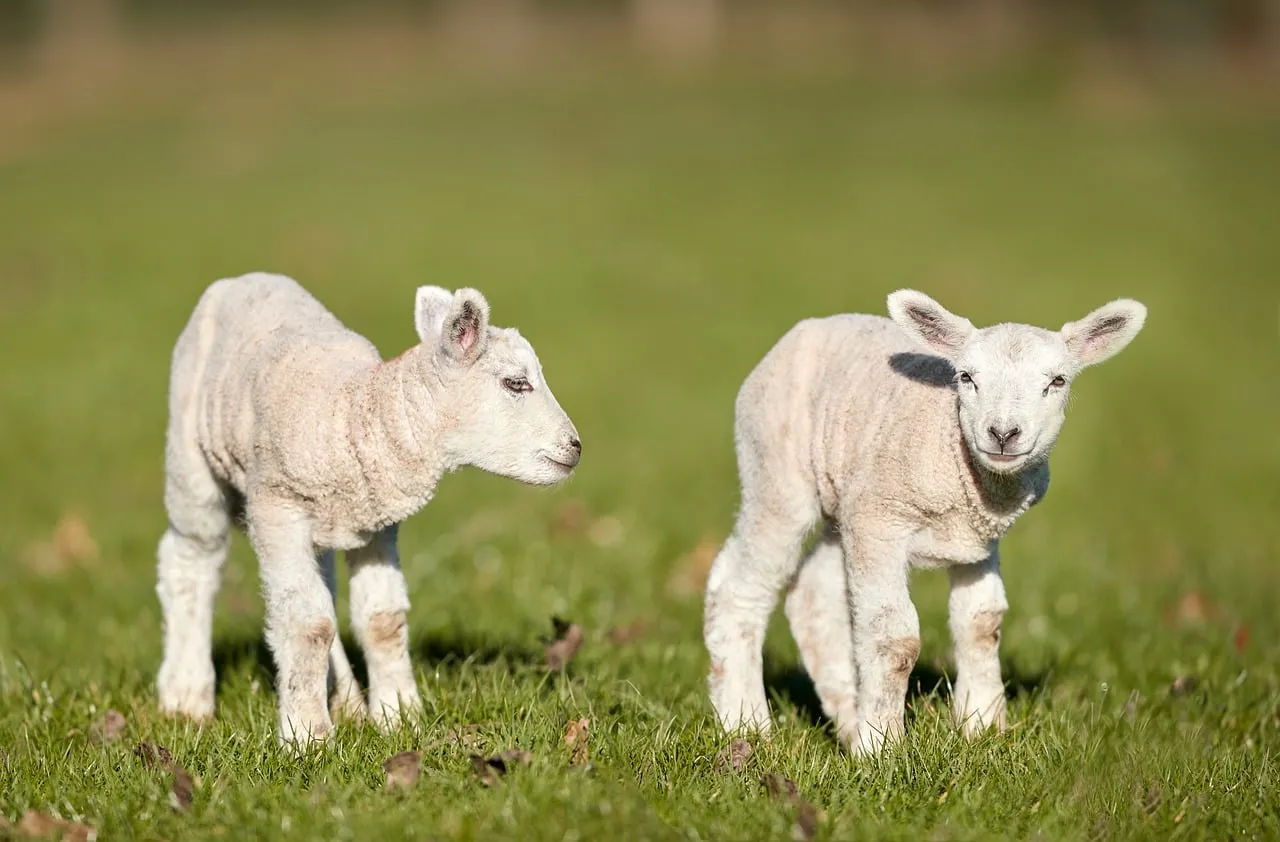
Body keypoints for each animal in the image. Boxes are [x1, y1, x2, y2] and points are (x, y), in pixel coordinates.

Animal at [156, 272, 581, 746]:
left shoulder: (377, 523)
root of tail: (242, 278)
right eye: (516, 383)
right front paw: (307, 735)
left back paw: (346, 701)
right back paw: (186, 697)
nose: (575, 447)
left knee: (324, 586)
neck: (357, 414)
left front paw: (398, 716)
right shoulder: (277, 507)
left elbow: (381, 618)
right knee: (192, 560)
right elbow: (308, 624)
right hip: (190, 457)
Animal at [703, 289, 1146, 755]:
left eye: (1058, 381)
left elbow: (981, 623)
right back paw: (746, 721)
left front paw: (982, 726)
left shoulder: (977, 540)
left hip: (846, 501)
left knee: (812, 594)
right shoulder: (882, 520)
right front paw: (880, 746)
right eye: (966, 377)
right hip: (777, 474)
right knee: (739, 588)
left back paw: (845, 721)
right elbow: (893, 638)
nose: (1003, 433)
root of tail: (808, 328)